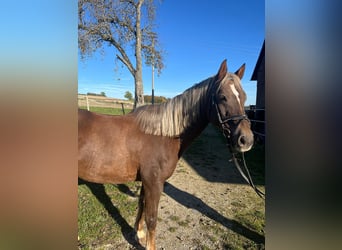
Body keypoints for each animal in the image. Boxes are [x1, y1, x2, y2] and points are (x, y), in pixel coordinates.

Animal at [78, 59, 254, 249]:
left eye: (244, 97)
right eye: (222, 97)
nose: (246, 140)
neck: (162, 134)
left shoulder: (146, 182)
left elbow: (142, 205)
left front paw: (139, 234)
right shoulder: (153, 183)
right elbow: (152, 218)